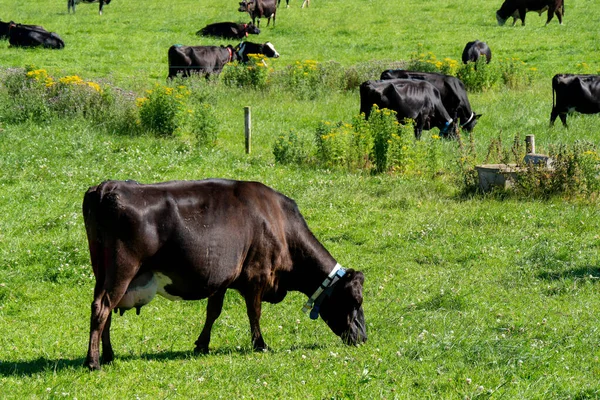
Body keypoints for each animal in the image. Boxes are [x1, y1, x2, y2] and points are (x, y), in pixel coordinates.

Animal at [82, 180, 368, 370]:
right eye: (355, 301)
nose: (363, 338)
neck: (279, 224)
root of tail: (107, 187)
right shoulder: (256, 276)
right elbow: (254, 313)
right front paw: (260, 344)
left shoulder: (220, 278)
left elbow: (213, 312)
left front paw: (202, 344)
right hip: (122, 268)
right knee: (102, 307)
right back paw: (94, 361)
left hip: (102, 271)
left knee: (105, 310)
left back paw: (108, 355)